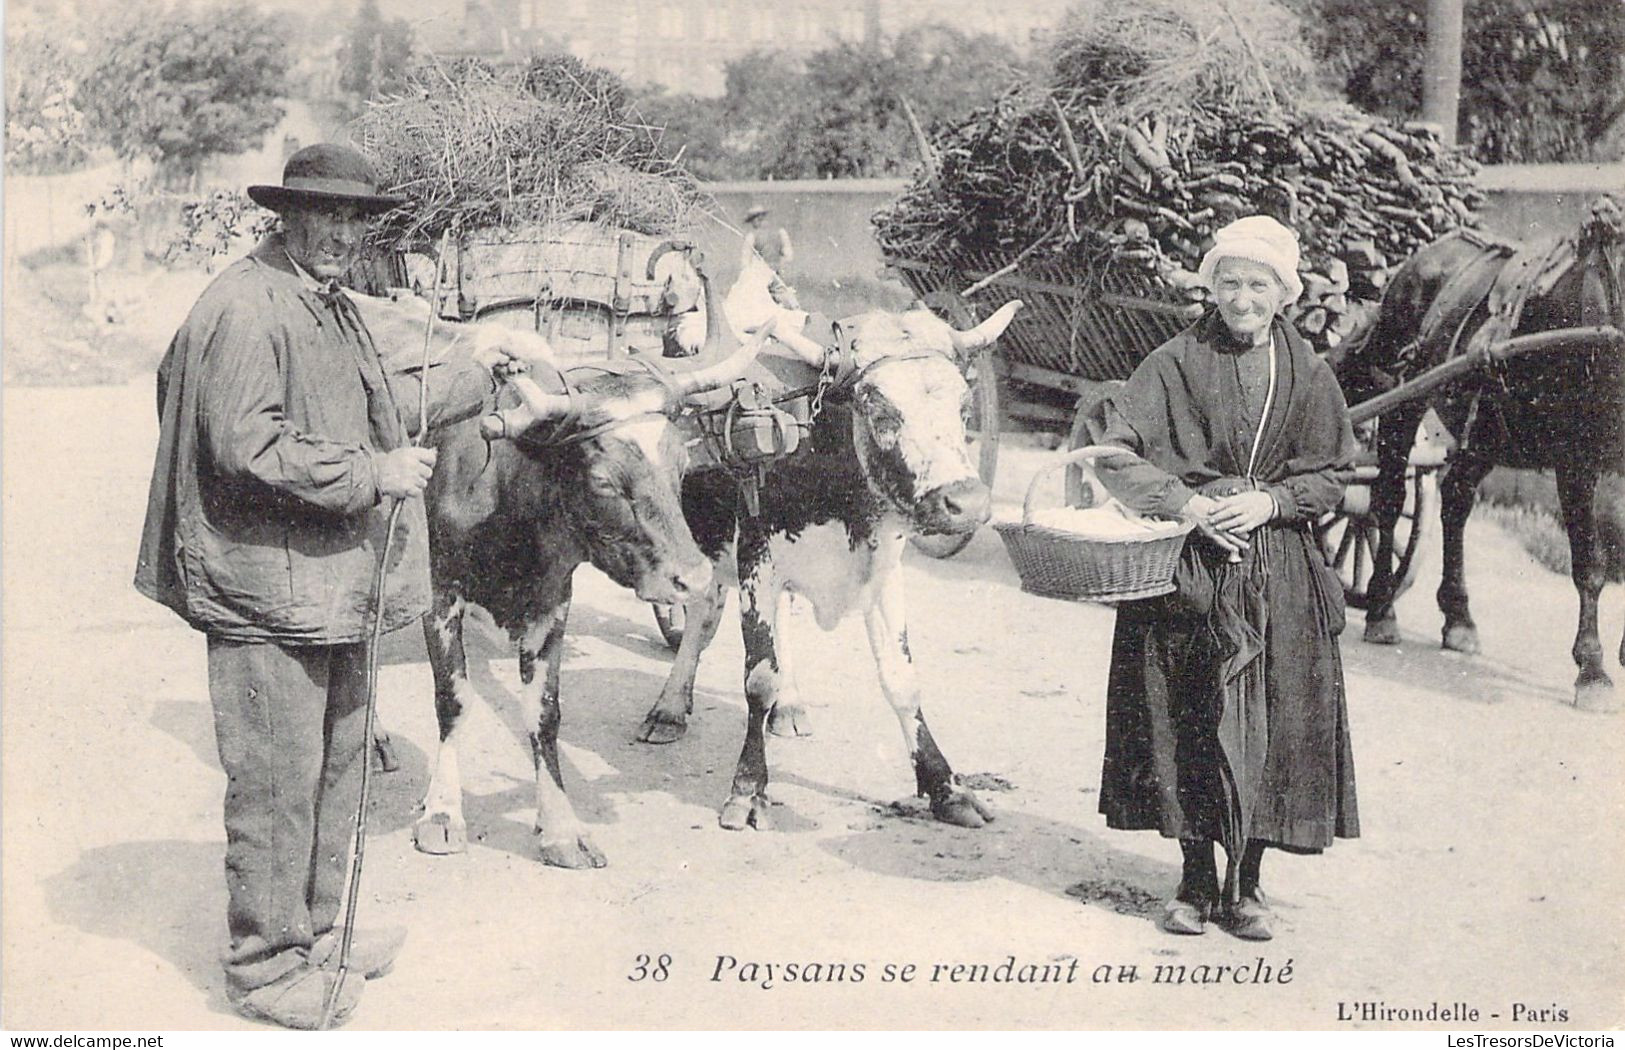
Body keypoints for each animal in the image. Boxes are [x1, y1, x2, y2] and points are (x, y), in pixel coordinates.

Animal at [1345, 193, 1625, 711]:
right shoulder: (1577, 460)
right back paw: (1381, 609)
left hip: (1487, 427)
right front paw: (1592, 671)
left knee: (1455, 501)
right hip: (1402, 401)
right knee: (1387, 502)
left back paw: (1458, 618)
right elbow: (1589, 565)